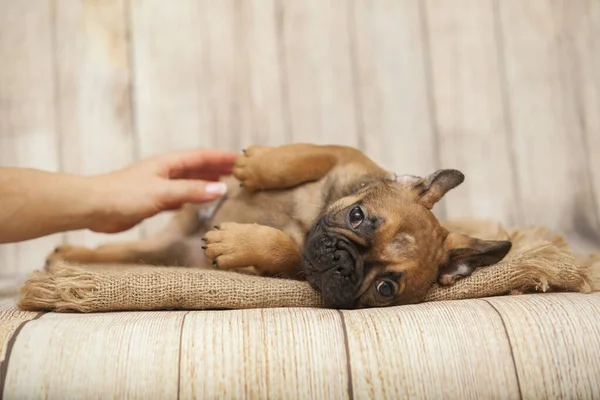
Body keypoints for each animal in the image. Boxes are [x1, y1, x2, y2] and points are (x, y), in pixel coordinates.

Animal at [49, 144, 512, 310]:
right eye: (356, 216)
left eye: (384, 289)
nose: (344, 264)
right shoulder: (343, 156)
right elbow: (305, 155)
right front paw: (254, 166)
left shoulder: (297, 265)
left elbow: (291, 250)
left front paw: (237, 241)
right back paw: (65, 257)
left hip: (166, 251)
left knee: (123, 253)